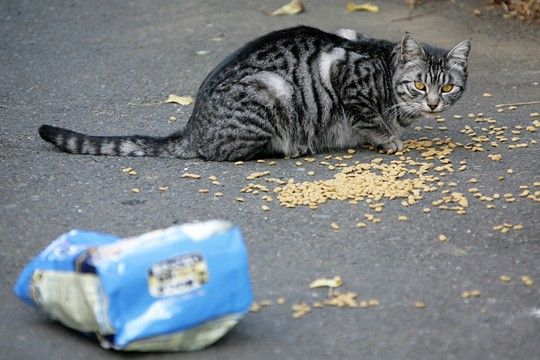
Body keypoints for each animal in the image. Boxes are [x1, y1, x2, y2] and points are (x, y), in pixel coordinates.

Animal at [38, 27, 470, 162]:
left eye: (447, 87)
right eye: (419, 85)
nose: (432, 103)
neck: (384, 69)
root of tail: (192, 128)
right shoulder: (345, 75)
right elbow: (367, 118)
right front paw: (387, 137)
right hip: (271, 95)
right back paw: (293, 147)